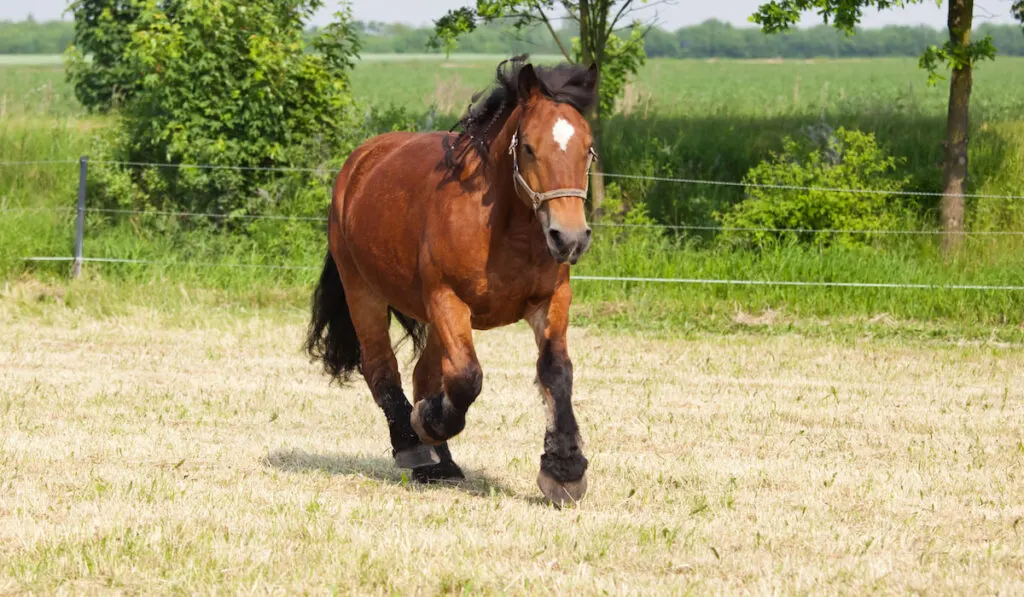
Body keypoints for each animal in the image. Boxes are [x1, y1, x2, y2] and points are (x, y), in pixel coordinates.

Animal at [301, 54, 598, 503]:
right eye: (529, 147)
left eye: (588, 149)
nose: (570, 238)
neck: (503, 229)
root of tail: (359, 163)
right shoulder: (447, 299)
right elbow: (465, 379)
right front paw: (428, 423)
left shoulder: (550, 300)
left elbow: (556, 372)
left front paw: (563, 470)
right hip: (364, 293)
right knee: (382, 368)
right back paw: (413, 445)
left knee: (423, 375)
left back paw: (441, 462)